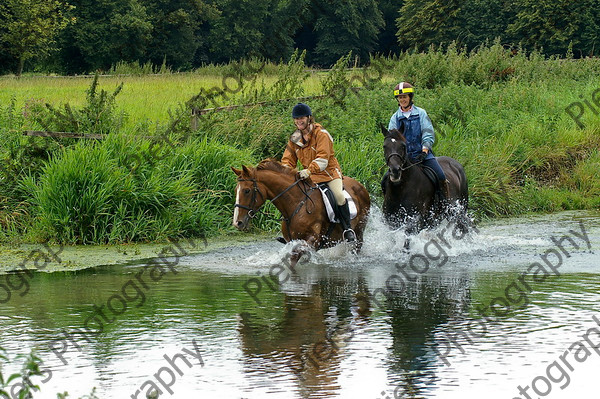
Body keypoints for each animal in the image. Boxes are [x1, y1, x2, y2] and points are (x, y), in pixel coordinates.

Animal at [231, 161, 368, 264]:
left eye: (247, 191)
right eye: (236, 190)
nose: (237, 222)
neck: (296, 204)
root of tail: (360, 185)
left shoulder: (312, 240)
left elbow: (294, 258)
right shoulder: (292, 241)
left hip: (359, 231)